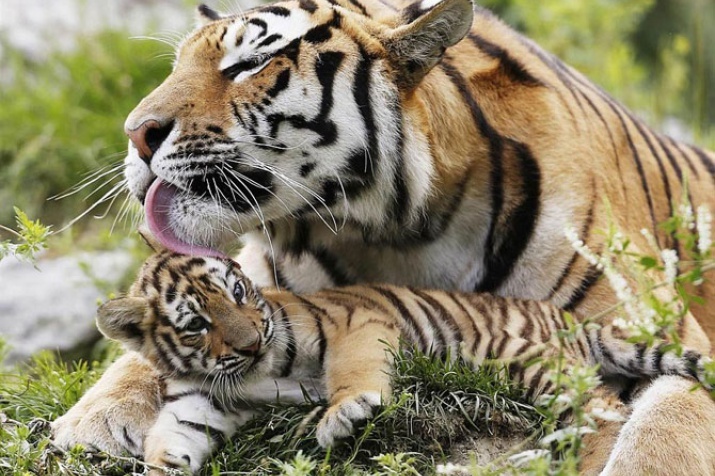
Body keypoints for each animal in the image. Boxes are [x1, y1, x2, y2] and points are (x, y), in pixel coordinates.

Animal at [53, 0, 715, 470]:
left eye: (248, 65)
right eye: (176, 67)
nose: (135, 133)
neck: (396, 233)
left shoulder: (661, 333)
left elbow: (665, 436)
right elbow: (144, 354)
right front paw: (92, 423)